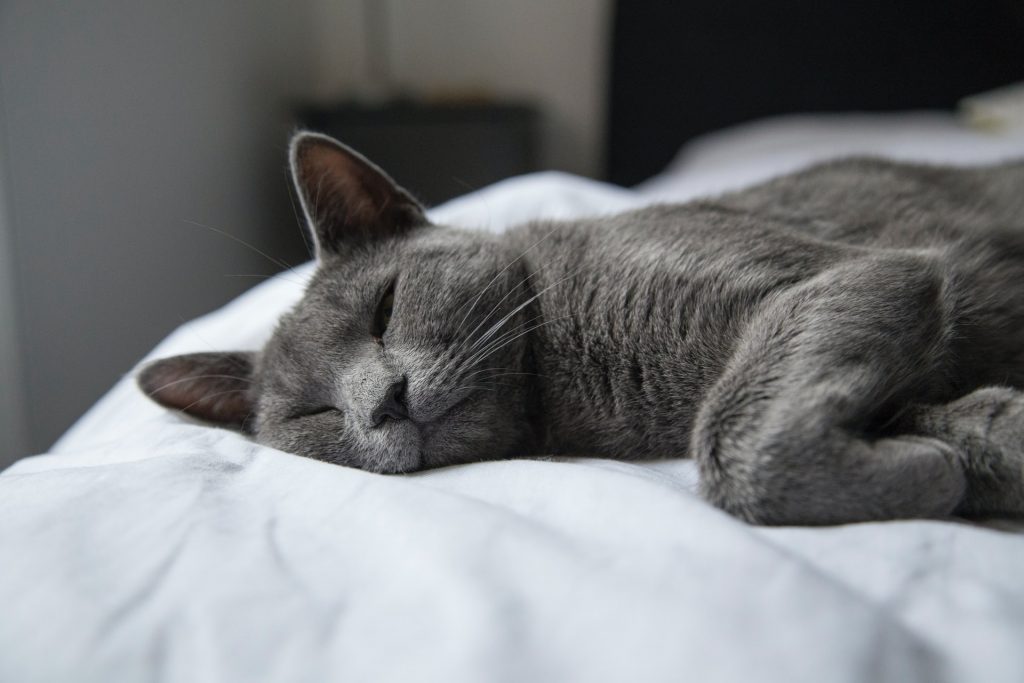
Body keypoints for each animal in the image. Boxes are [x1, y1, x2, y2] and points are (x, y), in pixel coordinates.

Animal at [140, 131, 1024, 528]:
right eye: (314, 414)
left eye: (385, 309)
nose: (382, 401)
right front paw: (948, 461)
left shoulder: (850, 275)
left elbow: (734, 436)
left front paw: (934, 472)